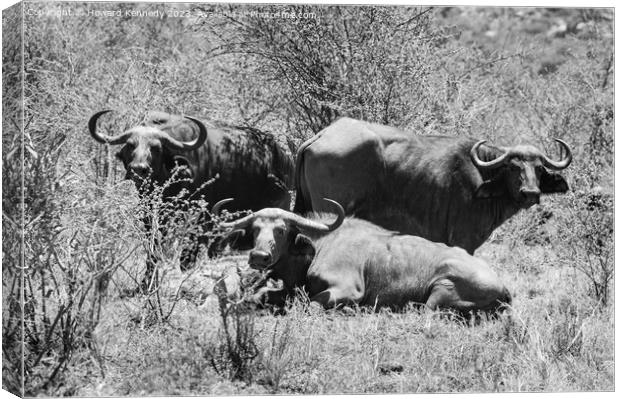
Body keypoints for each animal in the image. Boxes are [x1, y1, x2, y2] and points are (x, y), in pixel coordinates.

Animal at [86, 111, 296, 292]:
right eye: (131, 145)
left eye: (156, 147)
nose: (138, 169)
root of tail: (283, 157)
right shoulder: (151, 216)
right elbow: (152, 250)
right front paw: (146, 284)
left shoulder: (199, 218)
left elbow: (186, 258)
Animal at [216, 199, 512, 312]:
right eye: (256, 229)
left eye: (280, 230)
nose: (259, 256)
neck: (320, 245)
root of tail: (502, 286)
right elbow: (260, 294)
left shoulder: (347, 291)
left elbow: (312, 304)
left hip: (439, 291)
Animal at [296, 118, 572, 253]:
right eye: (514, 167)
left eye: (539, 168)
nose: (530, 193)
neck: (483, 175)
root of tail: (321, 135)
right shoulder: (463, 241)